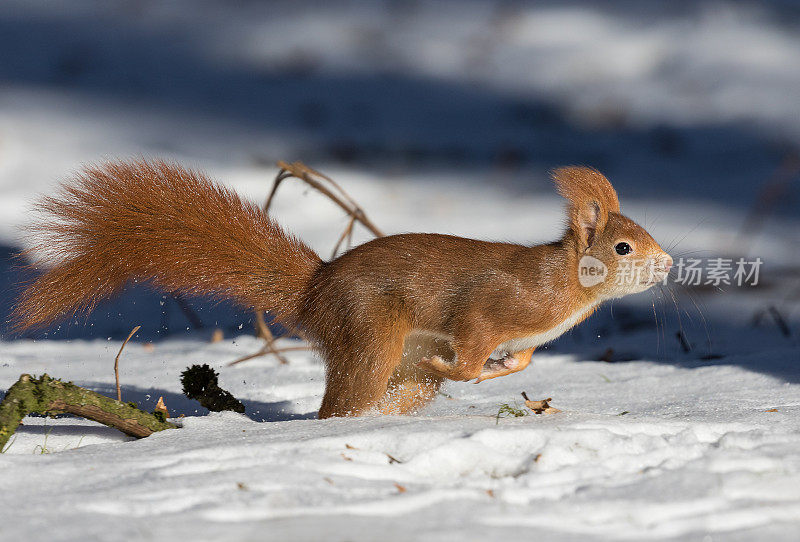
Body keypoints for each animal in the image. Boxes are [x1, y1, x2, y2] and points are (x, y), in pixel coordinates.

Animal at [12, 159, 672, 418]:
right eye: (623, 248)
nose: (667, 265)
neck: (563, 288)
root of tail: (315, 291)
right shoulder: (488, 312)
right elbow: (467, 349)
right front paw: (467, 369)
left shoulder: (528, 338)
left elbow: (520, 361)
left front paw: (501, 373)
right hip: (370, 334)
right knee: (345, 401)